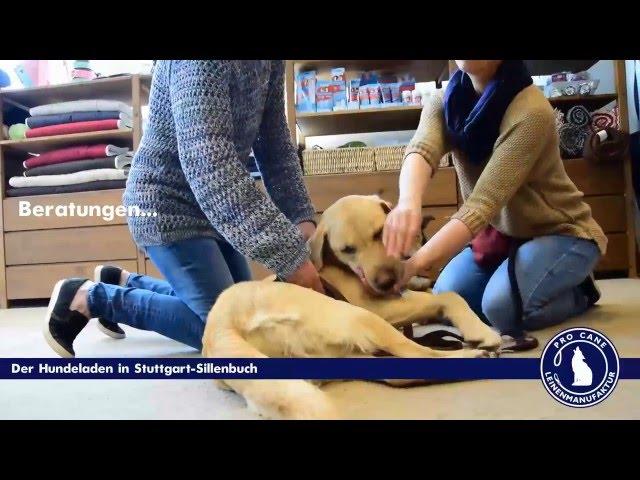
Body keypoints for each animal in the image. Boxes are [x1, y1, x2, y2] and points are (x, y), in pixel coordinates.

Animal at [202, 195, 502, 420]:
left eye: (381, 233)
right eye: (347, 249)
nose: (385, 282)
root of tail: (218, 330)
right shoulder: (379, 306)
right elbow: (450, 296)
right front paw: (481, 330)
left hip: (347, 355)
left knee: (402, 375)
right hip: (362, 317)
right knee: (422, 355)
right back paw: (474, 355)